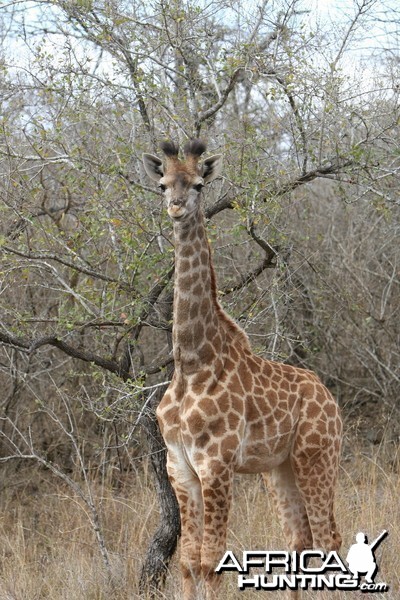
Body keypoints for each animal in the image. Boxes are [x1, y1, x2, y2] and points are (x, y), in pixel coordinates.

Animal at [142, 139, 342, 600]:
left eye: (198, 184)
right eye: (162, 184)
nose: (176, 207)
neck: (192, 363)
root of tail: (330, 398)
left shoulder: (216, 463)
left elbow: (211, 562)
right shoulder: (179, 467)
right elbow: (188, 561)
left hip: (317, 456)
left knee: (330, 539)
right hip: (278, 468)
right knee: (300, 539)